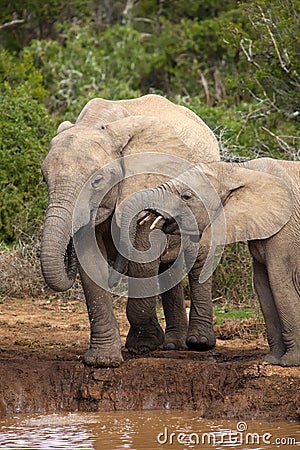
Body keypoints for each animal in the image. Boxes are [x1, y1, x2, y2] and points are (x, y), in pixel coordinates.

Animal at [39, 94, 219, 366]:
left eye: (97, 181)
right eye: (44, 177)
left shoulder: (145, 181)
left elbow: (143, 254)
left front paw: (143, 346)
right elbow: (90, 262)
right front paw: (102, 361)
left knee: (199, 260)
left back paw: (198, 343)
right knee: (169, 269)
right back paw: (172, 344)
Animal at [113, 158, 298, 366]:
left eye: (186, 196)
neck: (239, 170)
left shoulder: (285, 230)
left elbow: (279, 282)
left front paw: (289, 362)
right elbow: (262, 285)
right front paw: (271, 360)